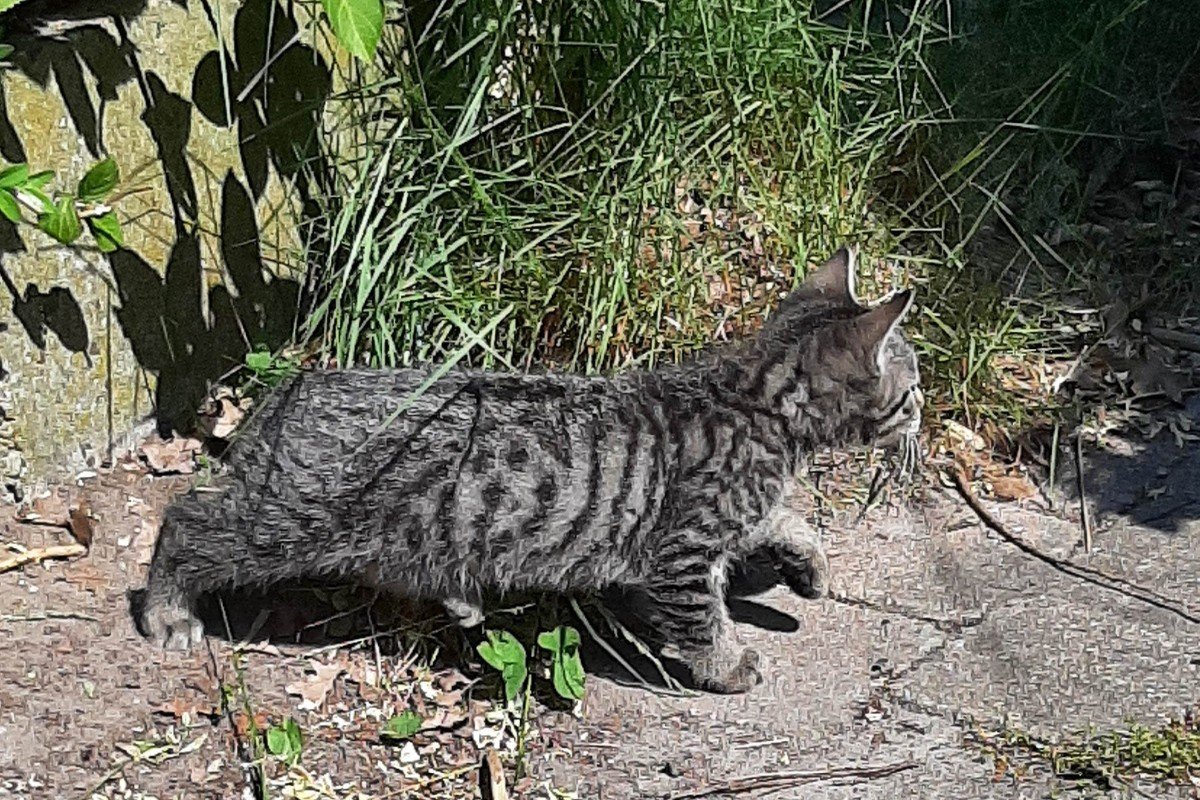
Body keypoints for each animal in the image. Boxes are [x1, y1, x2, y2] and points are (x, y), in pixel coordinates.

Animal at [136, 250, 916, 695]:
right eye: (911, 390)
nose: (923, 417)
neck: (751, 400)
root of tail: (290, 388)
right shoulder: (683, 558)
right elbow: (701, 621)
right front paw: (729, 665)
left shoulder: (731, 520)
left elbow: (786, 517)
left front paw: (811, 562)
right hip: (283, 519)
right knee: (189, 521)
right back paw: (167, 608)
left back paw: (460, 598)